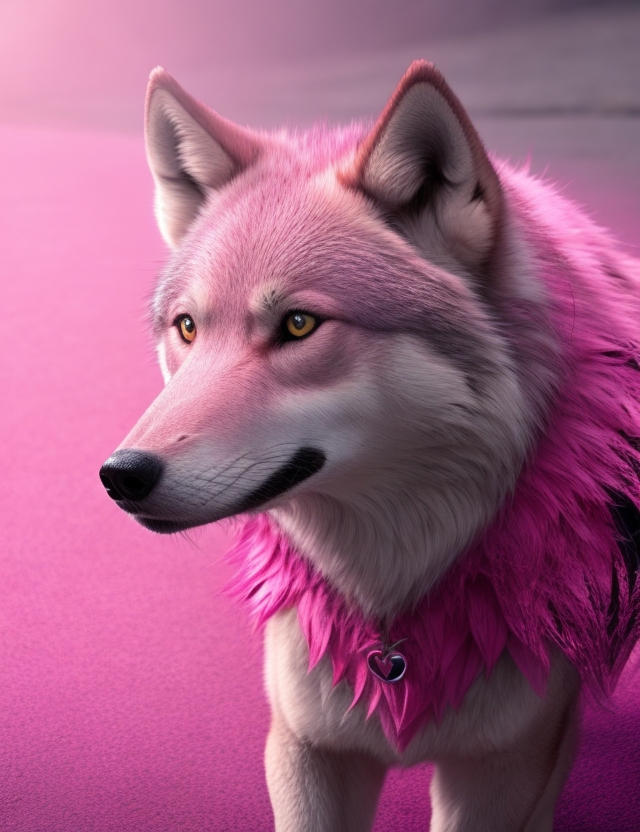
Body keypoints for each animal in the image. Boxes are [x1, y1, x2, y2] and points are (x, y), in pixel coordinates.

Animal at [99, 60, 640, 830]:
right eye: (187, 328)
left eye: (298, 324)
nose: (121, 475)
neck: (393, 612)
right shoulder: (308, 746)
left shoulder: (502, 766)